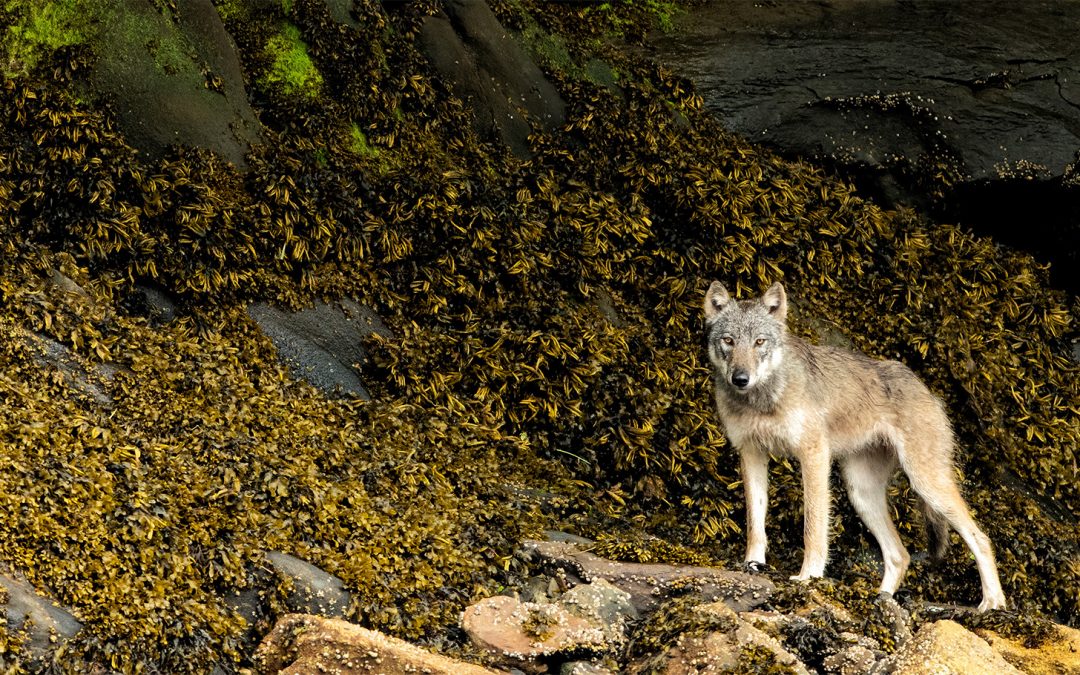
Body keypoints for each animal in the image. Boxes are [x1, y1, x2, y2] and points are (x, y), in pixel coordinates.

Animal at [703, 281, 1007, 611]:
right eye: (729, 341)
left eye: (759, 342)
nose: (740, 378)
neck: (761, 400)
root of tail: (927, 390)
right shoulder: (751, 453)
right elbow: (755, 521)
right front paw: (753, 565)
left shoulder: (814, 455)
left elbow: (813, 527)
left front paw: (808, 577)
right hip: (861, 494)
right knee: (900, 555)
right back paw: (881, 600)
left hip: (926, 485)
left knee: (982, 538)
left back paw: (993, 604)